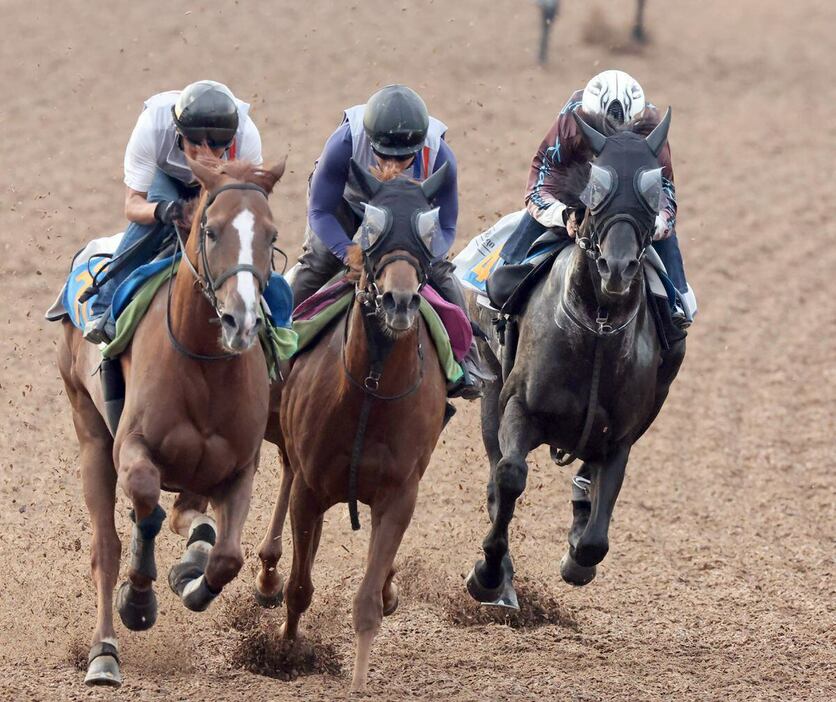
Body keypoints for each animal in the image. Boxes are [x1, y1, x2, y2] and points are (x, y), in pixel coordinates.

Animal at [58, 153, 288, 688]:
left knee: (191, 517)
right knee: (107, 547)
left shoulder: (238, 467)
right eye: (211, 230)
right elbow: (144, 500)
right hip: (89, 431)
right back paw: (104, 652)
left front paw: (193, 583)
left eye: (270, 235)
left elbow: (227, 556)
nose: (242, 321)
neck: (203, 364)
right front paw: (138, 601)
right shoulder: (132, 447)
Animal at [255, 162, 450, 696]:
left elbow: (366, 604)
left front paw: (360, 681)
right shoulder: (310, 485)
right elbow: (300, 588)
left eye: (428, 231)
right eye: (371, 226)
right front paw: (284, 652)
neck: (371, 390)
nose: (400, 300)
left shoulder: (399, 494)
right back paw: (267, 571)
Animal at [464, 110, 684, 612]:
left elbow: (595, 539)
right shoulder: (518, 407)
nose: (617, 268)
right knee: (496, 474)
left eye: (653, 191)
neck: (596, 329)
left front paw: (577, 559)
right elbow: (509, 477)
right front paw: (489, 574)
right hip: (489, 383)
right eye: (594, 192)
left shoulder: (620, 437)